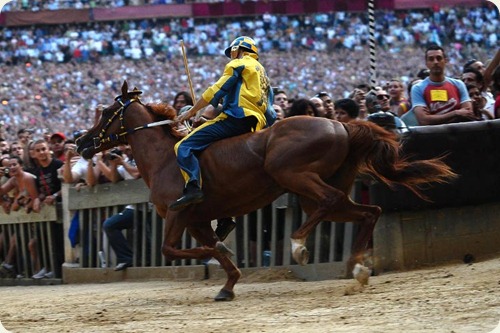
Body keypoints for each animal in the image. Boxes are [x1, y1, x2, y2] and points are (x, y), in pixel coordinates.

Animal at [76, 81, 456, 300]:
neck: (165, 158)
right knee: (368, 211)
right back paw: (360, 268)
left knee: (330, 202)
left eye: (106, 112)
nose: (80, 142)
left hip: (292, 174)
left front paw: (224, 254)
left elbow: (174, 249)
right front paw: (228, 284)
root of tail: (341, 125)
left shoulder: (178, 212)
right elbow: (212, 250)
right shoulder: (197, 220)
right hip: (322, 188)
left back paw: (299, 244)